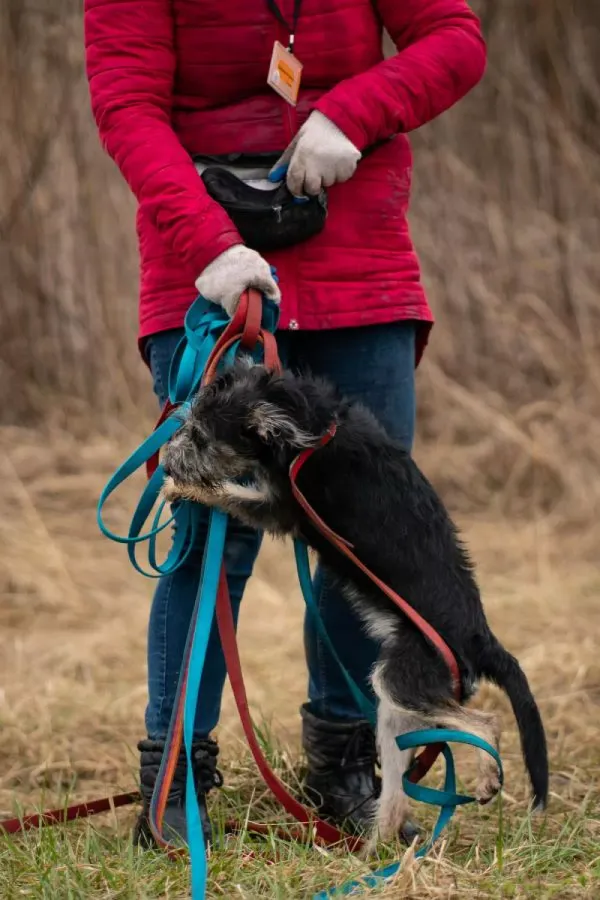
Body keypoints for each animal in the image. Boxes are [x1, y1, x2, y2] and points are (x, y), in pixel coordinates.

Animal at [163, 360, 548, 844]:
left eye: (200, 436)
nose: (164, 459)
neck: (310, 428)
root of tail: (480, 636)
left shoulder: (280, 508)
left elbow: (228, 493)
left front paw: (177, 489)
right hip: (396, 712)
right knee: (397, 795)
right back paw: (369, 847)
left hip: (400, 680)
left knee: (487, 724)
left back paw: (485, 779)